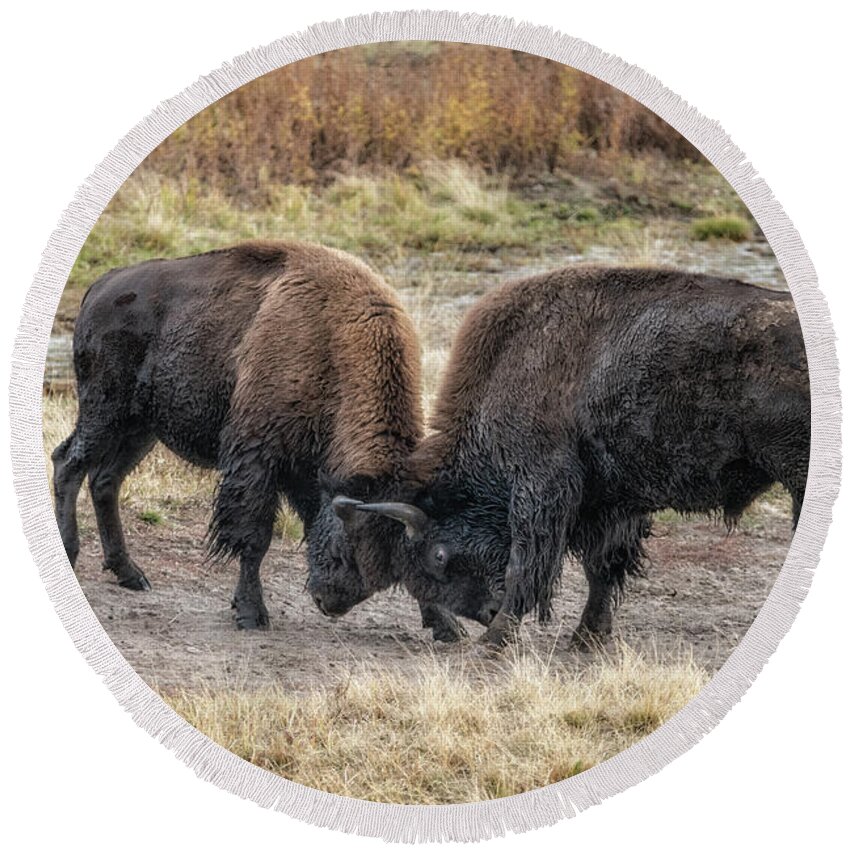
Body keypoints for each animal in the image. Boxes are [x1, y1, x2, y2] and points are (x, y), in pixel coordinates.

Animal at [51, 238, 490, 636]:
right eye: (348, 541)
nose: (329, 601)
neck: (333, 343)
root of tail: (102, 285)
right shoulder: (259, 457)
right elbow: (254, 537)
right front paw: (251, 614)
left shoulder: (305, 471)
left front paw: (447, 626)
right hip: (104, 410)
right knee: (68, 462)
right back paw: (71, 553)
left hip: (140, 429)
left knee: (105, 479)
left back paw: (131, 574)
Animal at [318, 268, 808, 644]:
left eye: (438, 555)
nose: (485, 612)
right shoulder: (611, 502)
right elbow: (603, 569)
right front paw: (587, 638)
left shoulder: (541, 489)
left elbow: (526, 565)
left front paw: (495, 640)